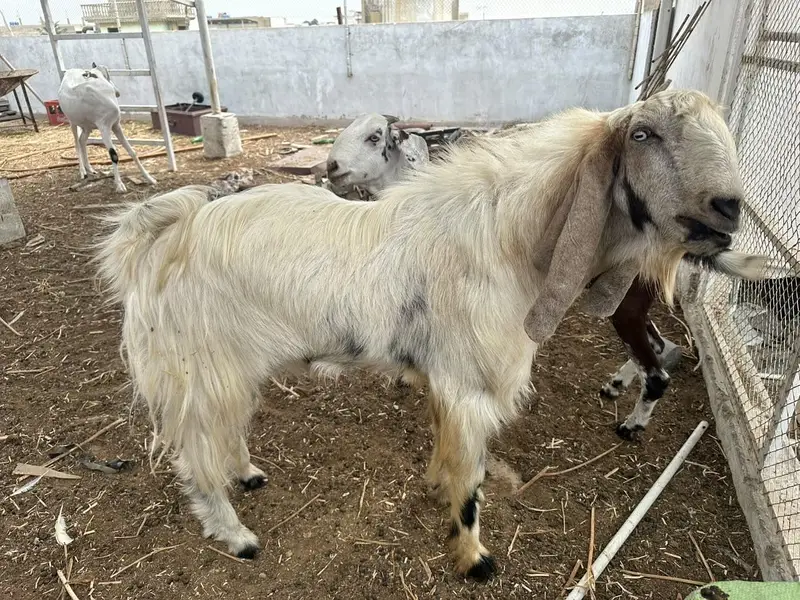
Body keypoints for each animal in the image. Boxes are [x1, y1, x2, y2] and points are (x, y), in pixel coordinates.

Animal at [58, 63, 157, 194]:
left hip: (87, 126)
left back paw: (90, 169)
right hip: (73, 122)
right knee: (76, 142)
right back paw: (83, 172)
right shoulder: (104, 127)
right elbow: (113, 155)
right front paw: (120, 185)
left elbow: (132, 152)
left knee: (82, 140)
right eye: (107, 75)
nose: (118, 92)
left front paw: (150, 179)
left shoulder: (116, 125)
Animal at [96, 89, 761, 580]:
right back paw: (237, 535)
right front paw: (474, 559)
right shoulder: (471, 387)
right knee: (195, 457)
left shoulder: (448, 380)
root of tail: (160, 236)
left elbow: (447, 450)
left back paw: (248, 474)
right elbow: (471, 480)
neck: (509, 242)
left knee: (225, 434)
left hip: (228, 367)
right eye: (643, 135)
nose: (729, 208)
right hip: (200, 368)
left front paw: (435, 487)